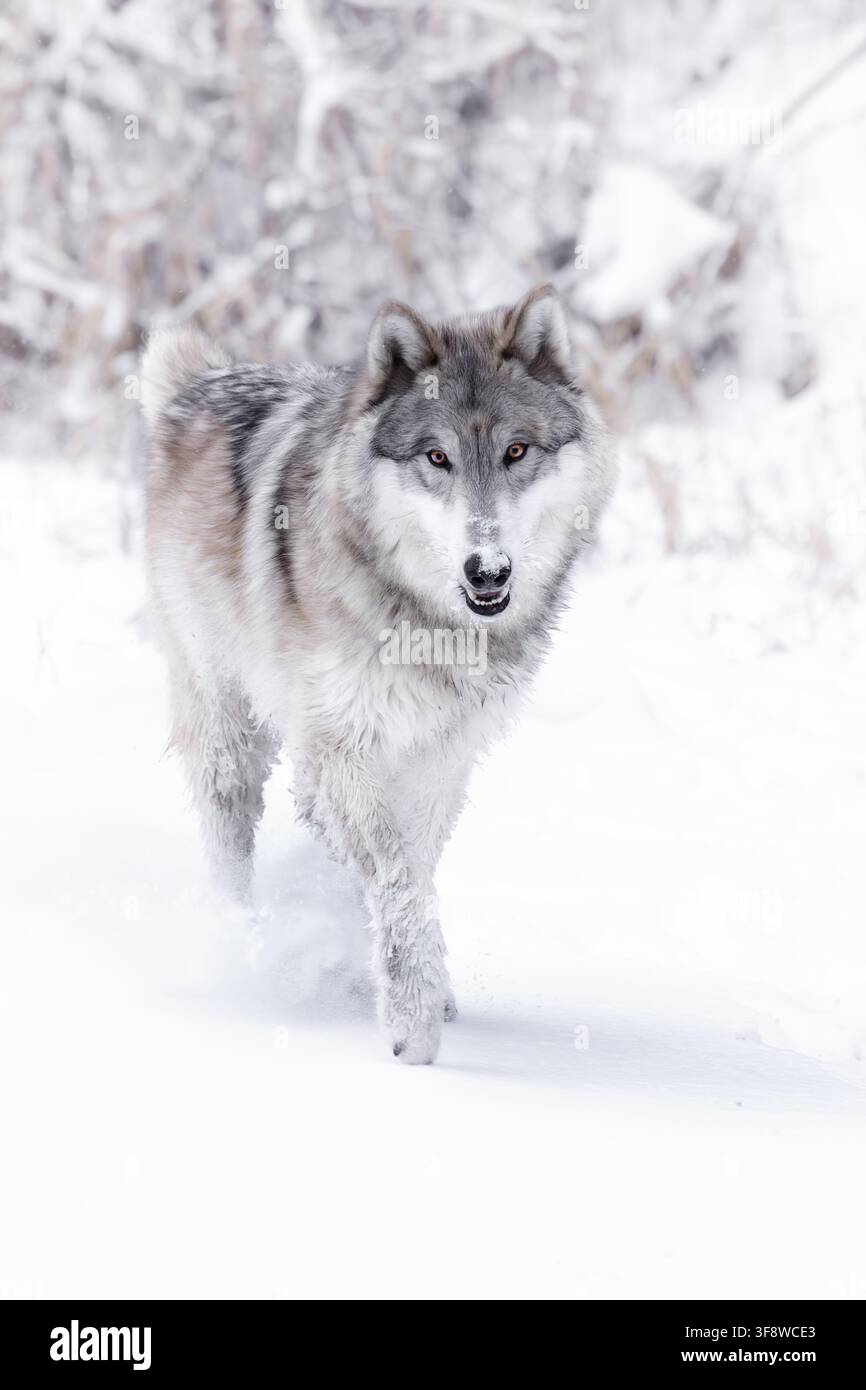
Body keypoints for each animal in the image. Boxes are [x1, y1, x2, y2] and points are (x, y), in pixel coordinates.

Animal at [141, 284, 615, 1064]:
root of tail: (201, 380)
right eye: (436, 456)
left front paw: (419, 986)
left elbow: (413, 865)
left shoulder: (440, 756)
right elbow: (396, 875)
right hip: (229, 731)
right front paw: (412, 1027)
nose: (487, 571)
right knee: (229, 839)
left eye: (516, 450)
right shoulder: (341, 747)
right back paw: (240, 943)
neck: (432, 629)